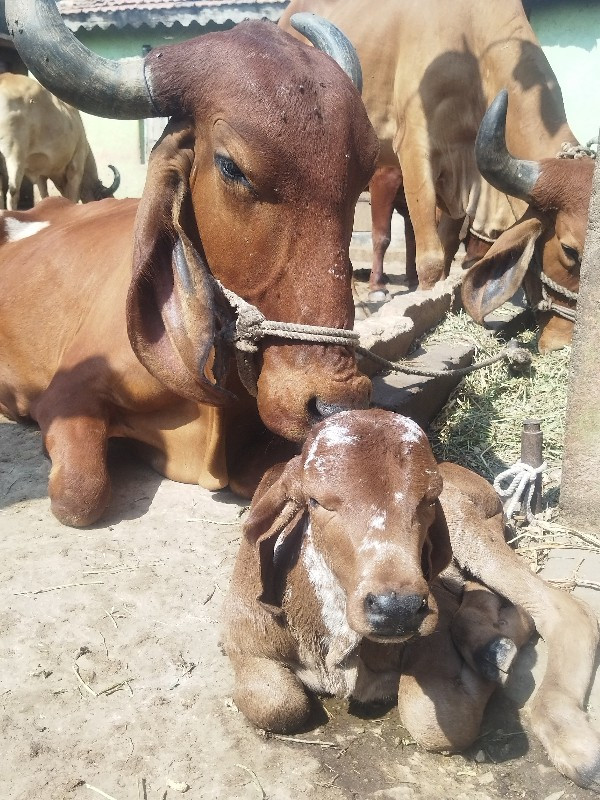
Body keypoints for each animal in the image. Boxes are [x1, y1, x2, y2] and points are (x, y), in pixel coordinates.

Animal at [0, 72, 119, 209]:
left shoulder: (41, 175)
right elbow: (72, 196)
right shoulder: (76, 166)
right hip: (15, 157)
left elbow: (44, 195)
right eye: (102, 198)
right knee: (13, 192)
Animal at [224, 412, 600, 792]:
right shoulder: (243, 644)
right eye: (316, 501)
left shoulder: (434, 631)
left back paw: (575, 745)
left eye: (429, 499)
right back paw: (492, 647)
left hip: (470, 528)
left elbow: (432, 721)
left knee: (562, 606)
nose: (396, 609)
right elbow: (277, 704)